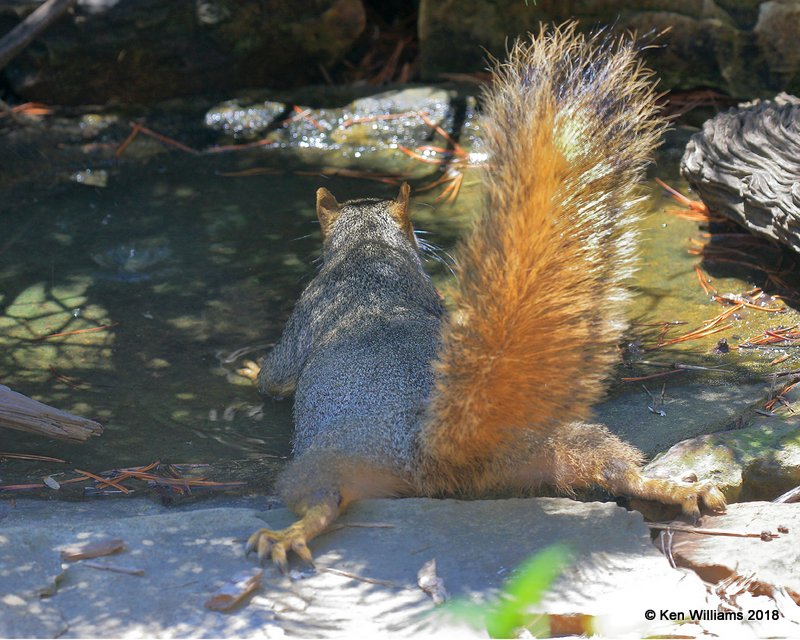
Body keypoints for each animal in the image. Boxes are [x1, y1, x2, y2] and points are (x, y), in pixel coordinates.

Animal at [247, 23, 728, 568]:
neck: (370, 256)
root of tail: (437, 456)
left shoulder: (307, 313)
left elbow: (276, 376)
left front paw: (248, 369)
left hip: (331, 460)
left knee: (321, 496)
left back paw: (291, 534)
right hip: (546, 447)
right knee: (611, 467)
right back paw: (677, 489)